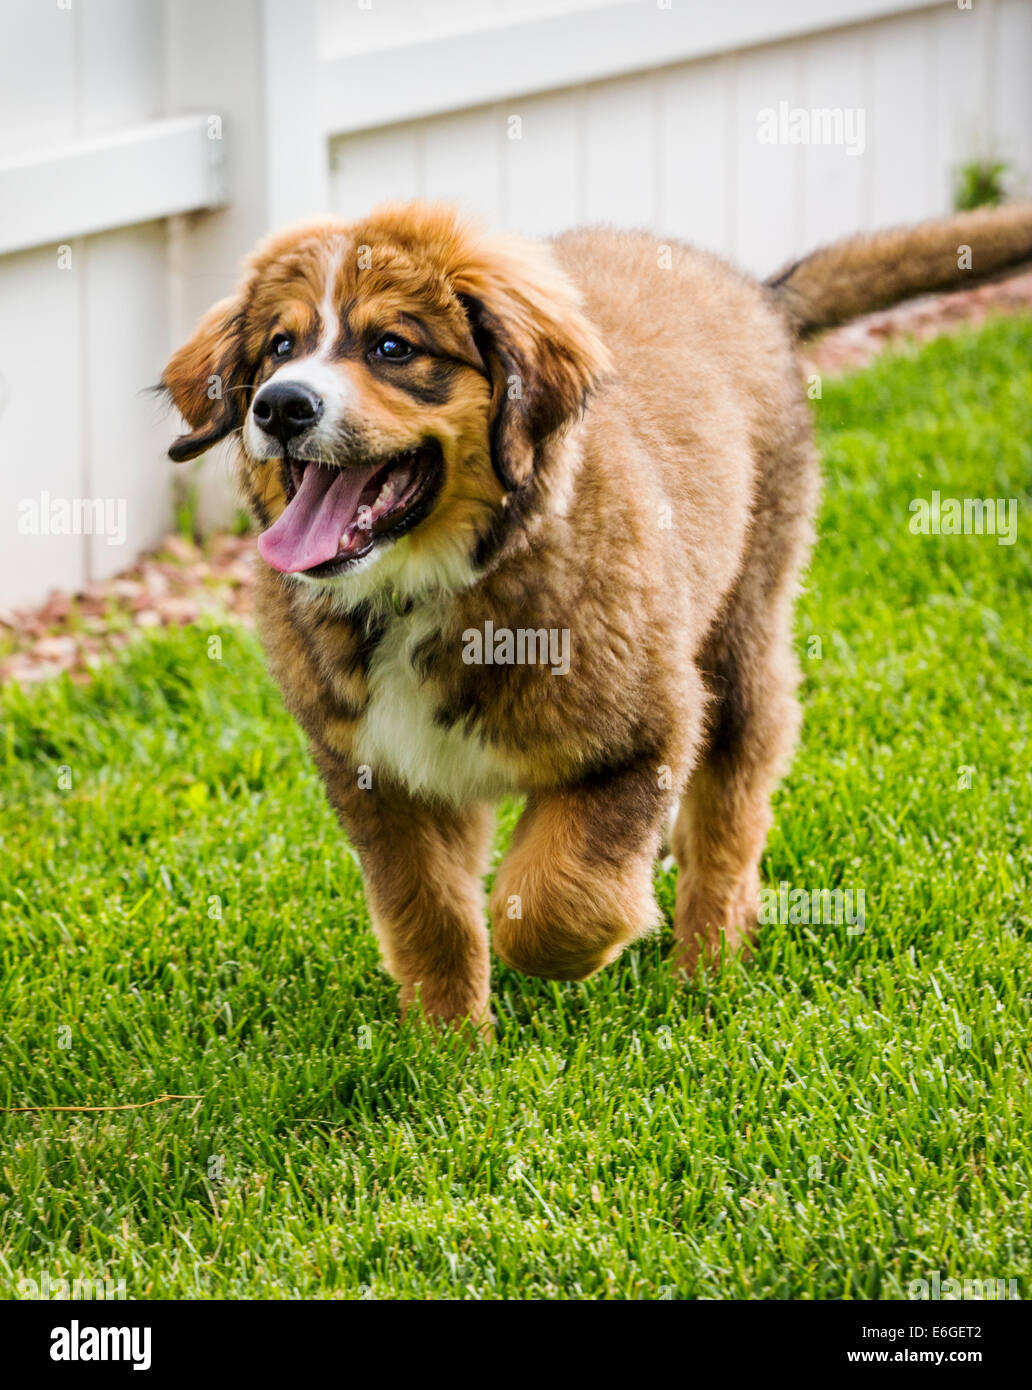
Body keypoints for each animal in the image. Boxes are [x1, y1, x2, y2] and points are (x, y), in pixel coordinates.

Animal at [161, 202, 1032, 1034]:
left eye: (393, 348)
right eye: (279, 346)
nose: (280, 407)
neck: (423, 588)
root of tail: (754, 291)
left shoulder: (648, 723)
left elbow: (552, 899)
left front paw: (583, 946)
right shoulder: (379, 773)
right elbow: (430, 914)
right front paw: (447, 1047)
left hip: (741, 635)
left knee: (731, 810)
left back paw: (709, 962)